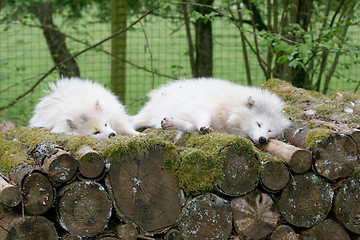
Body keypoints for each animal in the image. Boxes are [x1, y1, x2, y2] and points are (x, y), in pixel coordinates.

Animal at [131, 78, 292, 143]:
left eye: (270, 131)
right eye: (259, 124)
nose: (263, 139)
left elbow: (189, 127)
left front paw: (171, 124)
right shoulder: (200, 108)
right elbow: (202, 120)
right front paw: (204, 127)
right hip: (146, 116)